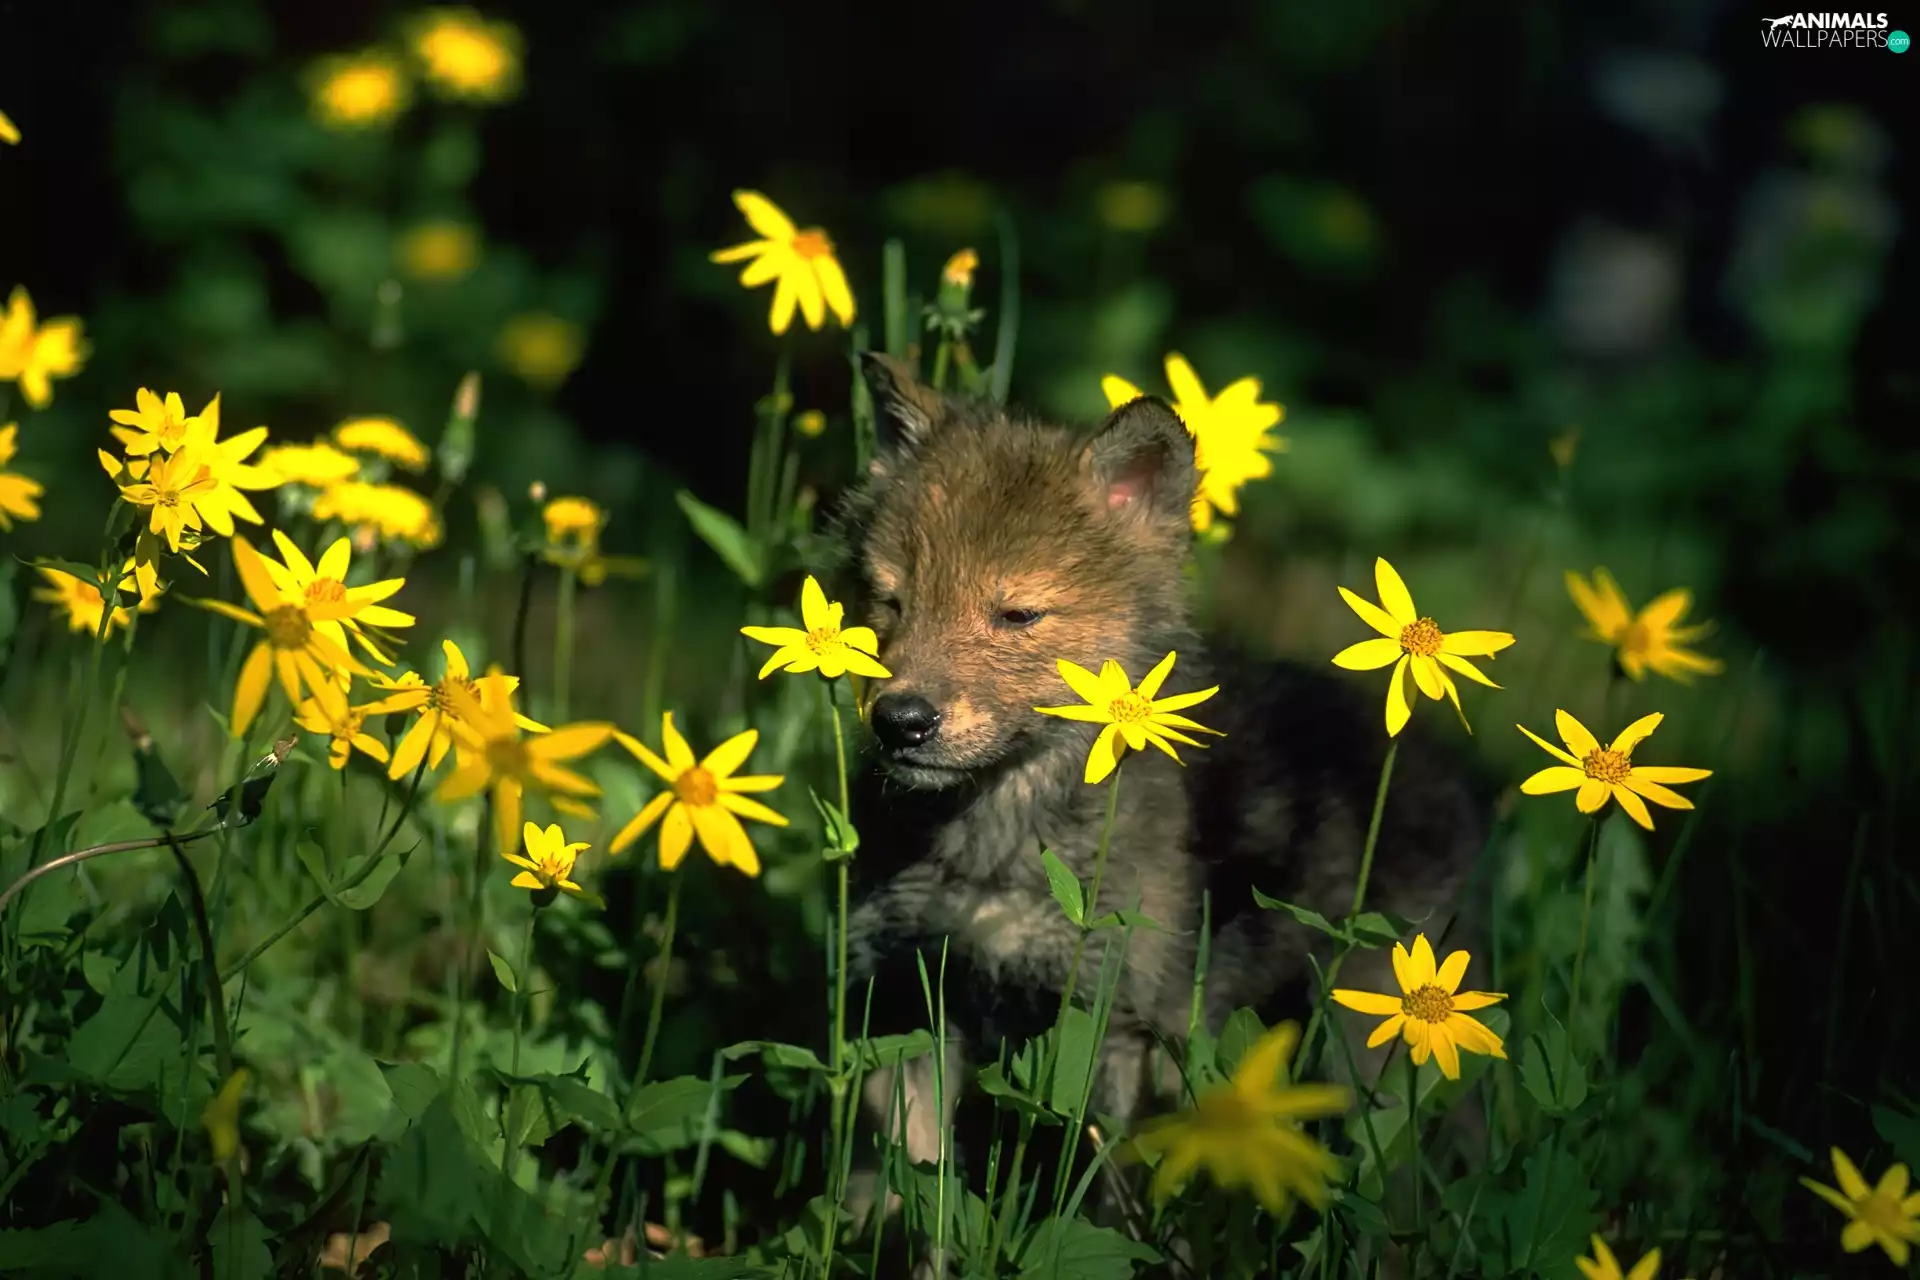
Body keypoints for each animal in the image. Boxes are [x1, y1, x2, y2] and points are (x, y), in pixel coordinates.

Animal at [833, 353, 1486, 1212]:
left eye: (1017, 614)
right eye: (891, 599)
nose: (900, 720)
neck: (996, 843)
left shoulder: (1116, 1026)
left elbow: (1104, 1207)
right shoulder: (908, 1000)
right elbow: (907, 1185)